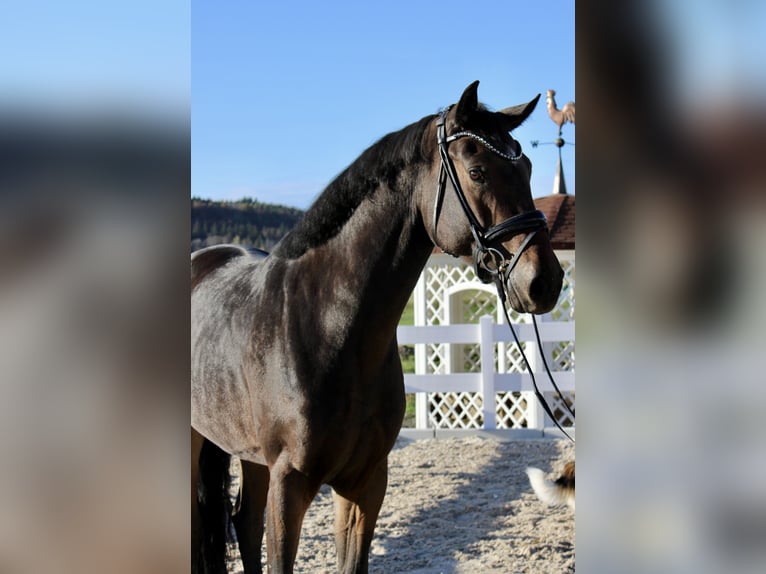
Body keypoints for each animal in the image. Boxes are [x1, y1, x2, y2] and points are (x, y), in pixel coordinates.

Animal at [192, 82, 564, 574]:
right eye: (478, 172)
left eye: (526, 168)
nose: (545, 281)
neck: (330, 329)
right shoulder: (289, 484)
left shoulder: (365, 484)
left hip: (249, 456)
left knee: (245, 522)